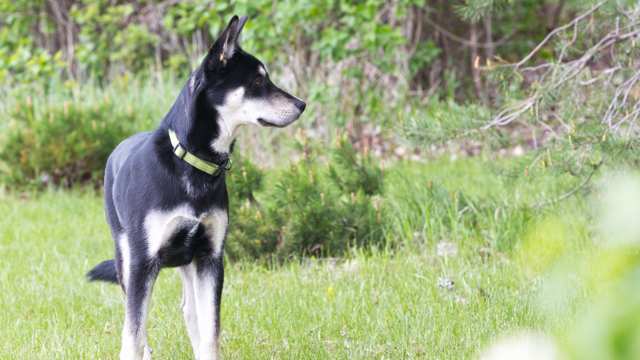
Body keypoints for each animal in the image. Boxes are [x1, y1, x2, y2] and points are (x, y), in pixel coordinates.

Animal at [87, 16, 304, 360]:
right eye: (257, 82)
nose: (302, 105)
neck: (193, 163)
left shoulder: (210, 257)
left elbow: (210, 329)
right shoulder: (143, 261)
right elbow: (133, 331)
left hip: (187, 262)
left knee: (190, 312)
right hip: (126, 257)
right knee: (137, 318)